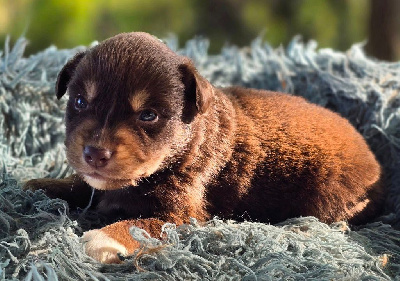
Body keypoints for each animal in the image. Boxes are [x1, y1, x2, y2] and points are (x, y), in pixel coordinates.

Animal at [25, 32, 384, 262]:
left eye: (148, 115)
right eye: (80, 102)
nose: (94, 154)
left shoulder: (184, 215)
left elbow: (140, 224)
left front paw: (101, 238)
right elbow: (81, 186)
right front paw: (38, 185)